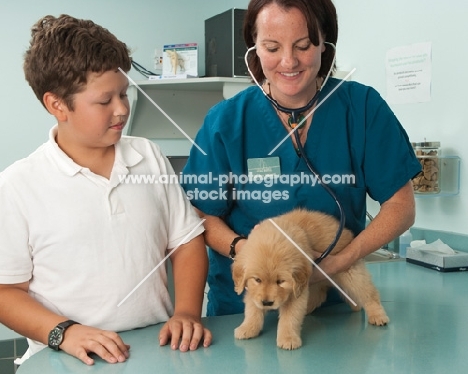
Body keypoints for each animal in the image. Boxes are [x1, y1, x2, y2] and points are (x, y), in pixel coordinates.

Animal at [232, 209, 390, 350]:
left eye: (281, 281)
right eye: (257, 280)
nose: (267, 303)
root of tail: (347, 234)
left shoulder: (296, 292)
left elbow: (290, 317)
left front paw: (288, 338)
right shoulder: (252, 291)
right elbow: (252, 311)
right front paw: (248, 328)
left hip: (352, 274)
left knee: (370, 294)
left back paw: (378, 316)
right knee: (320, 295)